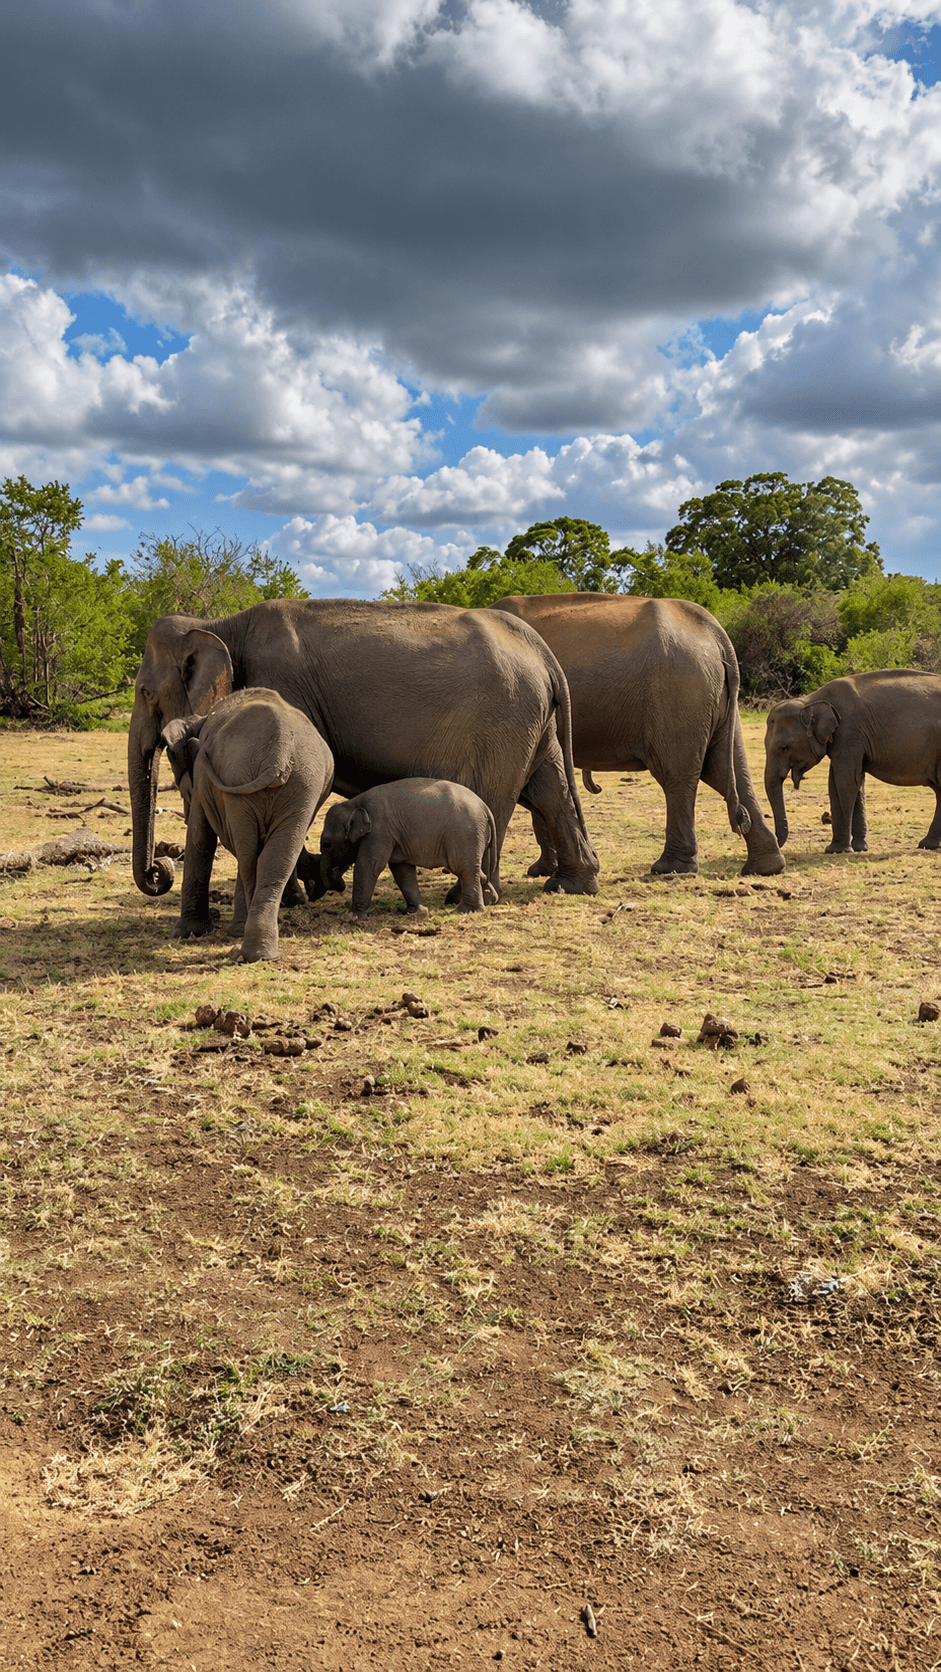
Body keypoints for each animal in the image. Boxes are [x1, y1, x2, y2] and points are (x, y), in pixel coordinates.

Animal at [160, 688, 335, 961]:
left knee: (250, 855)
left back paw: (247, 947)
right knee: (274, 856)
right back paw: (260, 951)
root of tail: (278, 754)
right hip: (300, 784)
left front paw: (185, 933)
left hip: (248, 779)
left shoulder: (201, 772)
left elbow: (200, 838)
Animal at [305, 777, 499, 919]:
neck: (354, 803)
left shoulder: (380, 830)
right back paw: (490, 896)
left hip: (465, 834)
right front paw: (417, 912)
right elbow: (402, 870)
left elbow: (369, 865)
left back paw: (466, 911)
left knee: (464, 869)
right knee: (472, 869)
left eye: (326, 844)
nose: (311, 894)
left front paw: (351, 917)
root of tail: (486, 808)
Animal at [487, 594, 785, 876]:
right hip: (715, 700)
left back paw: (669, 868)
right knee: (727, 770)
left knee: (679, 776)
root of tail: (715, 631)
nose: (596, 786)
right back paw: (766, 866)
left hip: (679, 694)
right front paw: (541, 870)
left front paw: (541, 871)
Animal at [764, 670, 941, 854]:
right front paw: (859, 848)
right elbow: (847, 783)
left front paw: (837, 850)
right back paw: (928, 844)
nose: (778, 843)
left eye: (784, 747)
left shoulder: (849, 732)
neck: (812, 699)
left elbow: (845, 782)